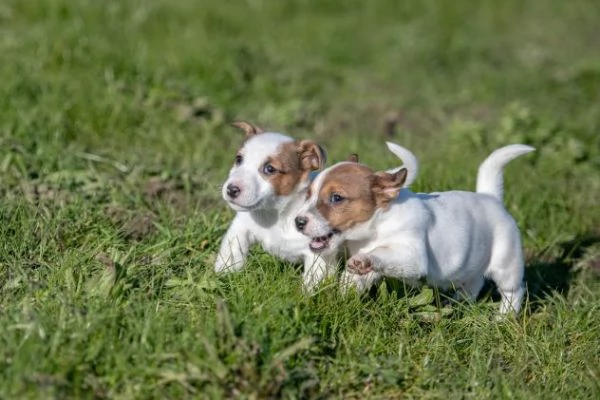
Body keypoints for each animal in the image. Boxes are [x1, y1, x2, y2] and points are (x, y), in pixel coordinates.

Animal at [216, 123, 418, 292]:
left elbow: (312, 282)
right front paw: (223, 275)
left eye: (270, 169)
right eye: (238, 159)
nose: (231, 189)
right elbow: (231, 252)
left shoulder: (318, 255)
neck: (276, 214)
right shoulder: (241, 227)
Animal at [296, 142, 536, 314]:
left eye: (336, 198)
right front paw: (343, 295)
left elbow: (381, 253)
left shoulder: (412, 254)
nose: (298, 222)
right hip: (470, 265)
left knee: (513, 291)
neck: (377, 227)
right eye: (309, 195)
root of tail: (490, 197)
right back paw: (457, 304)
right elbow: (354, 278)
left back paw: (503, 318)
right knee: (474, 283)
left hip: (506, 264)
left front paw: (365, 260)